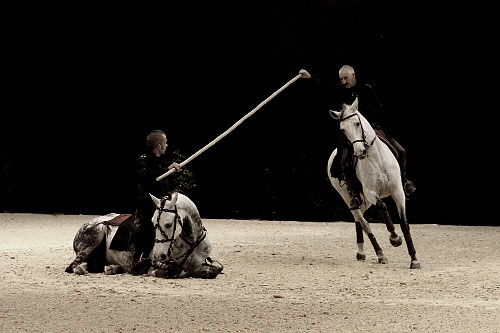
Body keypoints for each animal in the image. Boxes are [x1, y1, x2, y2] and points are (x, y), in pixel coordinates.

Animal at [65, 191, 224, 276]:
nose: (160, 255)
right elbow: (172, 268)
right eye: (153, 224)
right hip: (95, 237)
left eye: (168, 224)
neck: (191, 242)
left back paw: (112, 268)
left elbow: (213, 270)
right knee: (74, 266)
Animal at [326, 97, 420, 268]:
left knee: (359, 220)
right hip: (349, 198)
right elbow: (382, 206)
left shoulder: (398, 191)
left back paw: (362, 252)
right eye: (343, 130)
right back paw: (380, 254)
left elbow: (404, 224)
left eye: (357, 123)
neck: (377, 159)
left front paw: (414, 259)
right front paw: (394, 238)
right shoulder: (370, 192)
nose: (359, 152)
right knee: (364, 223)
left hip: (365, 202)